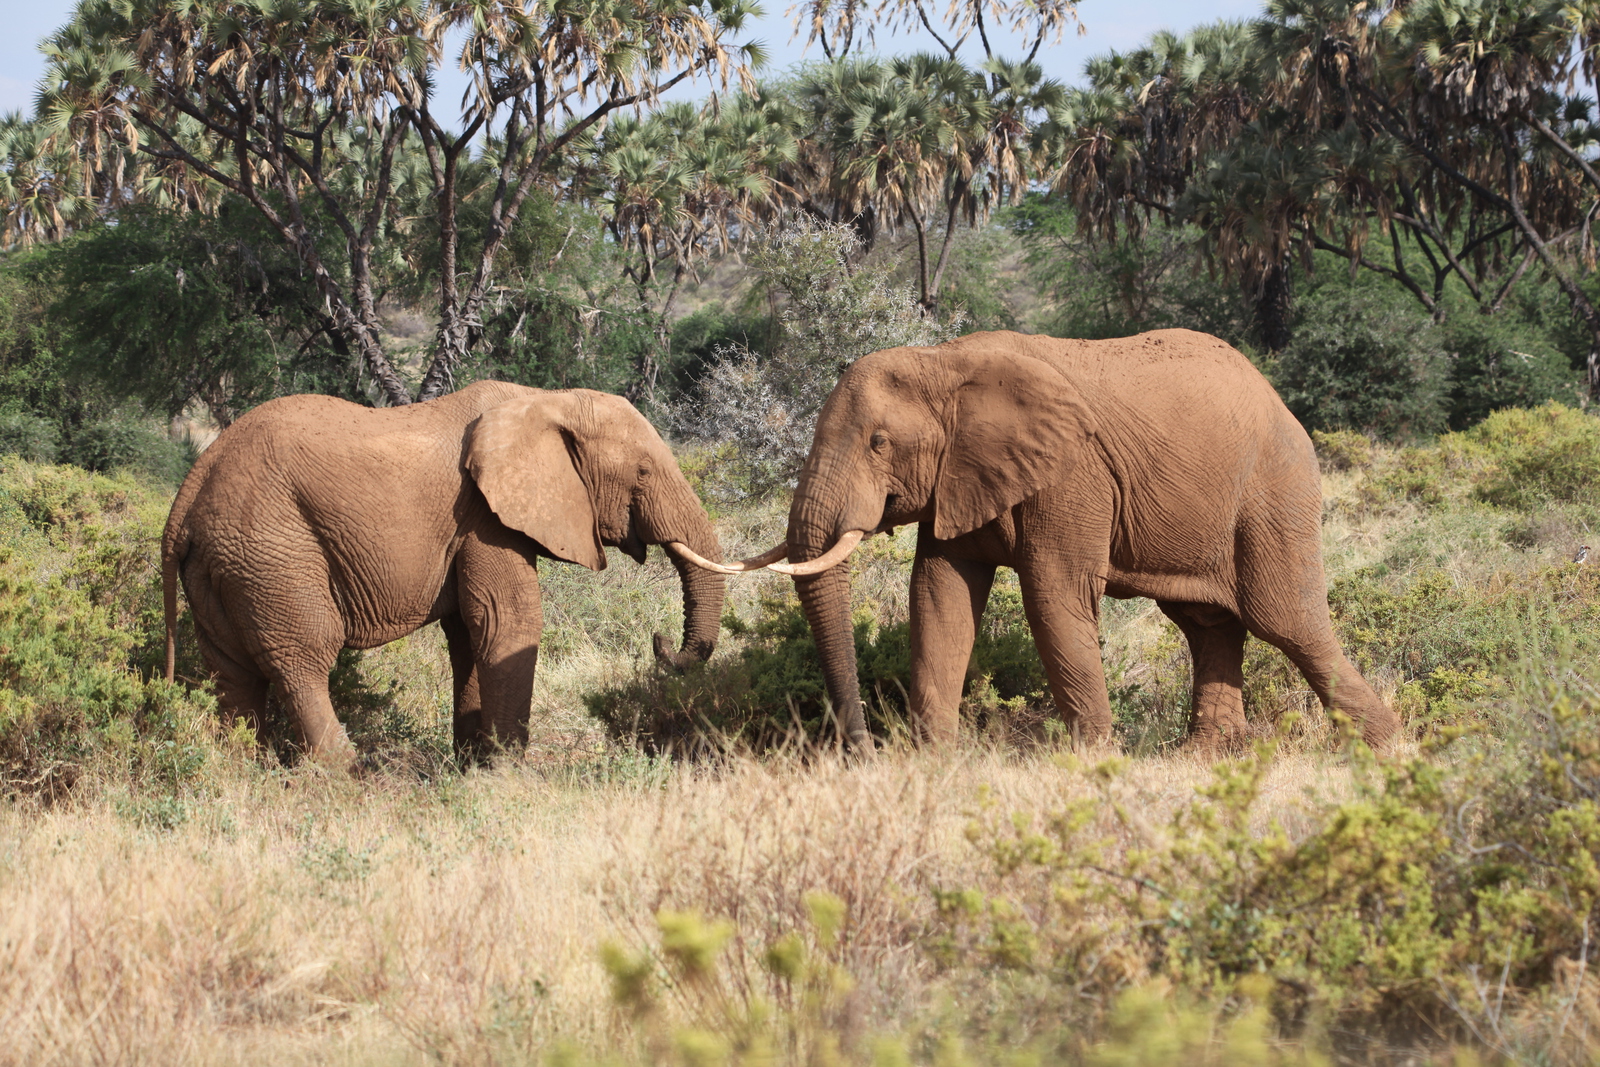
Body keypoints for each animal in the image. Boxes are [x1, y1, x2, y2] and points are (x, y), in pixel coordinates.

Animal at [160, 379, 726, 764]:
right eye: (643, 473)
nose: (659, 642)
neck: (543, 400)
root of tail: (189, 490)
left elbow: (469, 636)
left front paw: (473, 765)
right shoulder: (483, 518)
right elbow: (506, 623)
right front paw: (505, 774)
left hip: (221, 566)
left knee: (232, 674)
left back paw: (244, 773)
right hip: (272, 554)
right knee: (304, 659)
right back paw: (346, 778)